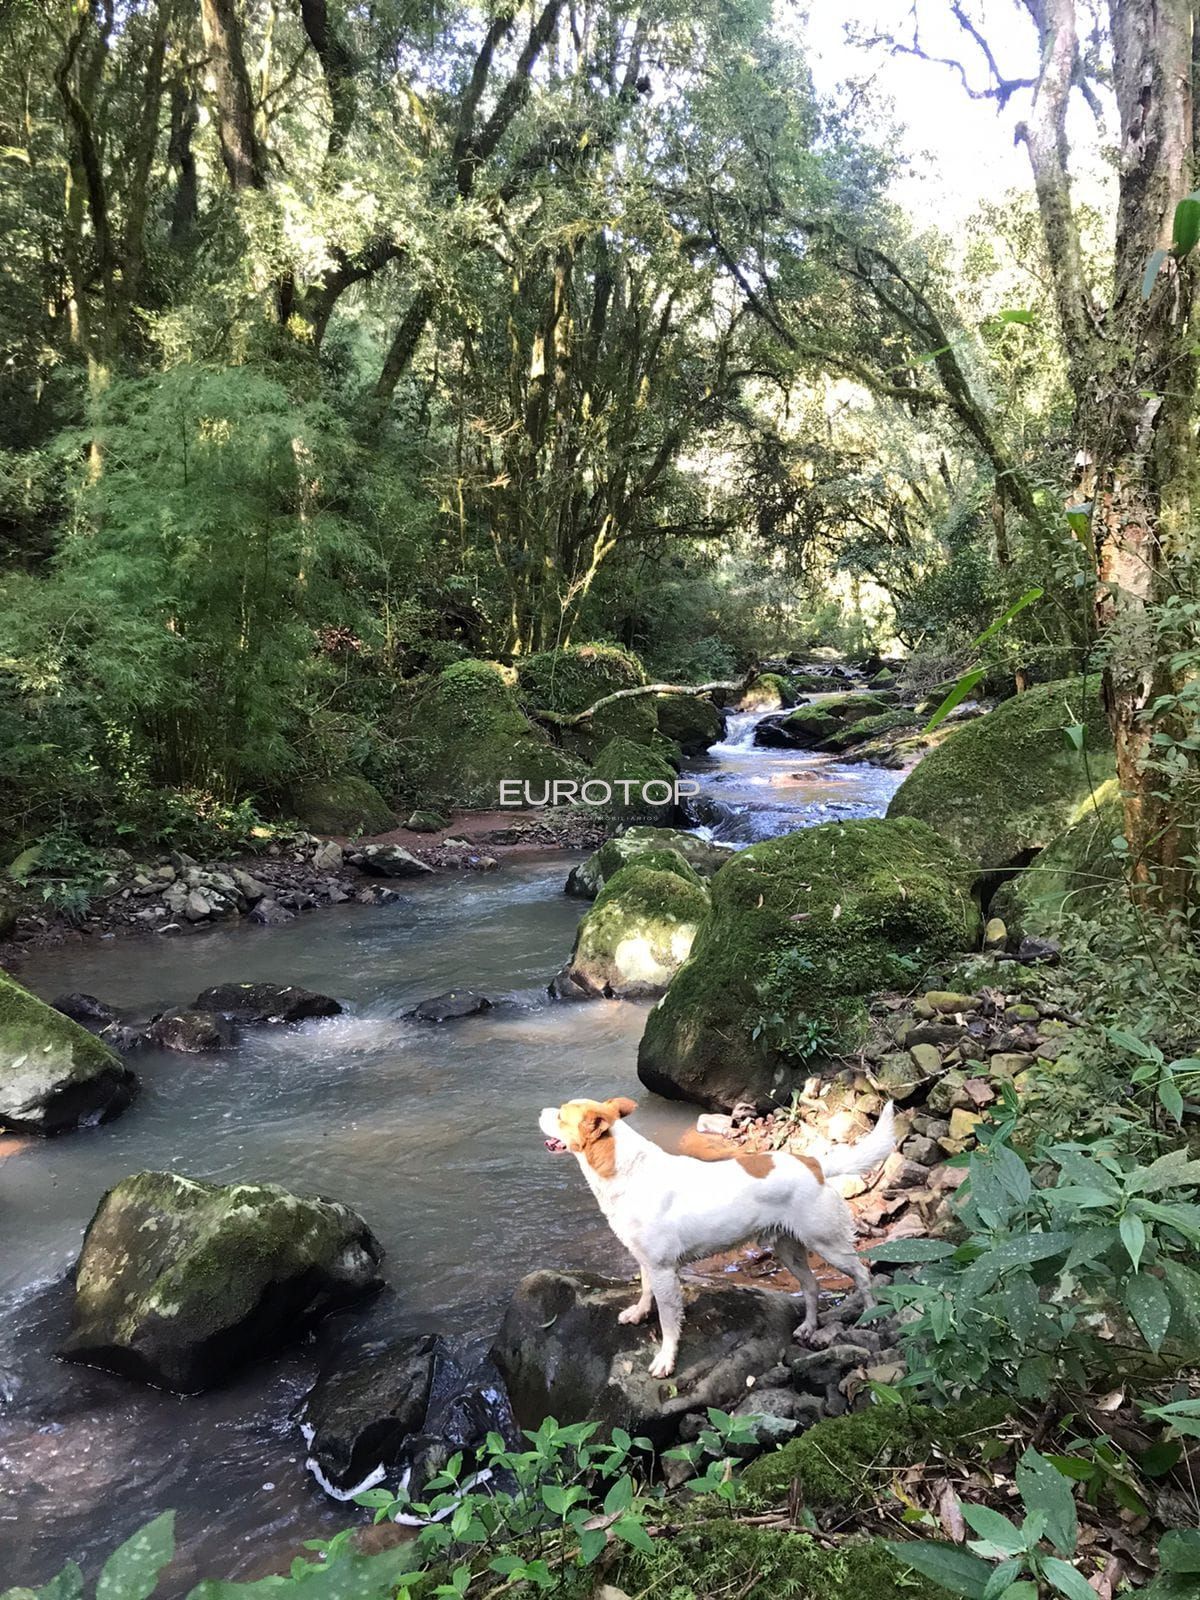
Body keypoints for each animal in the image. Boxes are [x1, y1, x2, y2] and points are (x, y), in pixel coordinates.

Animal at [540, 1094, 896, 1382]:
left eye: (560, 1116)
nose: (541, 1111)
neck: (624, 1169)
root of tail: (814, 1163)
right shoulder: (647, 1261)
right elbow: (644, 1290)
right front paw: (639, 1313)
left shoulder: (664, 1270)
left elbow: (668, 1322)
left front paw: (665, 1360)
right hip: (788, 1248)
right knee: (811, 1286)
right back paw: (808, 1327)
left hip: (828, 1244)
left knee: (862, 1274)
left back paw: (870, 1315)